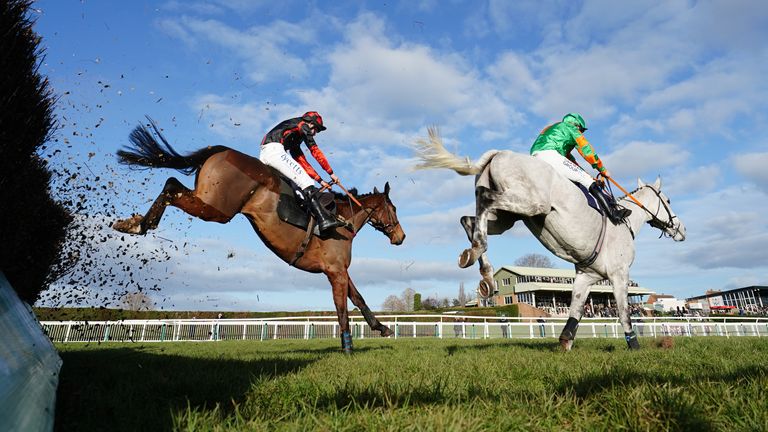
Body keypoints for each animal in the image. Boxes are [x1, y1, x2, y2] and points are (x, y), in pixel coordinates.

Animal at [113, 117, 404, 352]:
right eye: (394, 209)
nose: (400, 237)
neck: (345, 221)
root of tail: (221, 149)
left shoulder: (339, 269)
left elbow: (358, 298)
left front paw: (382, 328)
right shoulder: (335, 271)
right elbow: (342, 308)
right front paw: (347, 346)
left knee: (171, 184)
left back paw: (133, 223)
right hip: (217, 208)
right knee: (172, 185)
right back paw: (140, 224)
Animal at [416, 128, 688, 352]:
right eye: (669, 200)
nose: (682, 229)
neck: (628, 223)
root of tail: (499, 153)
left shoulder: (586, 276)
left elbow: (576, 311)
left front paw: (565, 342)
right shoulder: (619, 274)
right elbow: (624, 313)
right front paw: (634, 346)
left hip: (508, 217)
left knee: (469, 220)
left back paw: (482, 270)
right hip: (530, 203)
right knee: (485, 200)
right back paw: (479, 251)